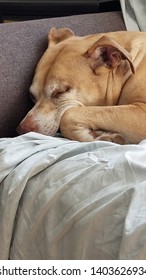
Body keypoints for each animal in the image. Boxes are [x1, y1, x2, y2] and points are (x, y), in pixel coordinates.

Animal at [17, 27, 146, 144]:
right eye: (32, 95)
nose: (22, 130)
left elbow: (68, 115)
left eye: (61, 91)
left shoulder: (140, 112)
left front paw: (98, 137)